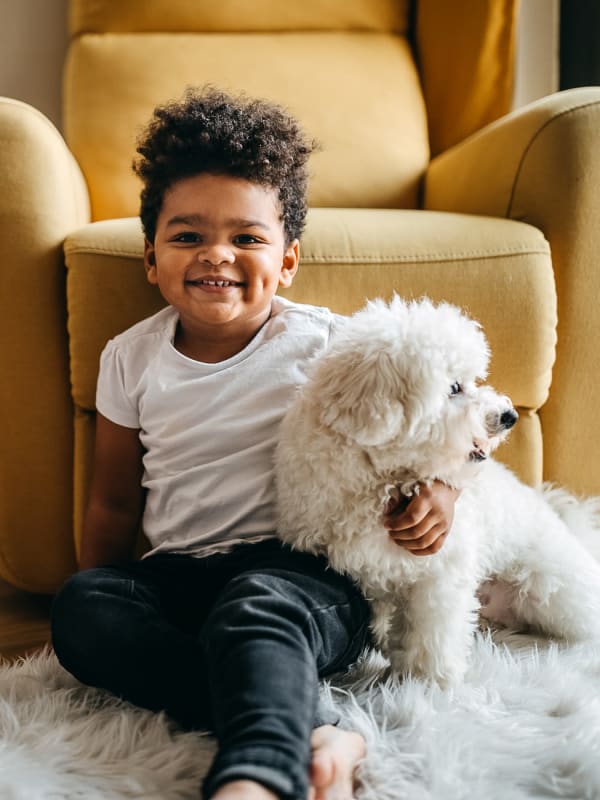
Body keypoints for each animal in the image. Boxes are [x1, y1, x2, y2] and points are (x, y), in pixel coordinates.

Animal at [276, 296, 600, 684]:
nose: (509, 416)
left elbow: (433, 630)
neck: (381, 479)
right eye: (454, 388)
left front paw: (427, 679)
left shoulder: (440, 572)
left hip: (551, 590)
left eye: (471, 380)